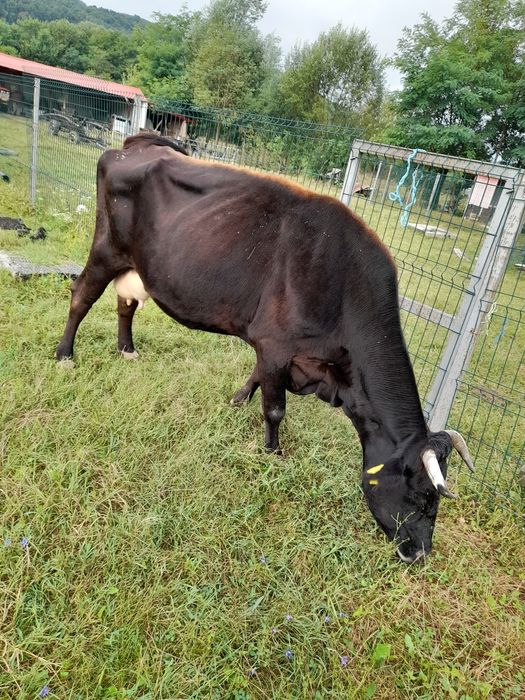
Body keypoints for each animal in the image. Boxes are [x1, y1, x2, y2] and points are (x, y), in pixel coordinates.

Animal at [56, 133, 474, 563]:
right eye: (422, 497)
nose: (420, 553)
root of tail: (136, 144)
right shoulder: (276, 344)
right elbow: (275, 409)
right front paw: (273, 453)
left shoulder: (275, 348)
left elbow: (256, 378)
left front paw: (236, 401)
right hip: (106, 249)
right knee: (81, 296)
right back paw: (65, 355)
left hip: (135, 264)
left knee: (126, 302)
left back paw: (126, 349)